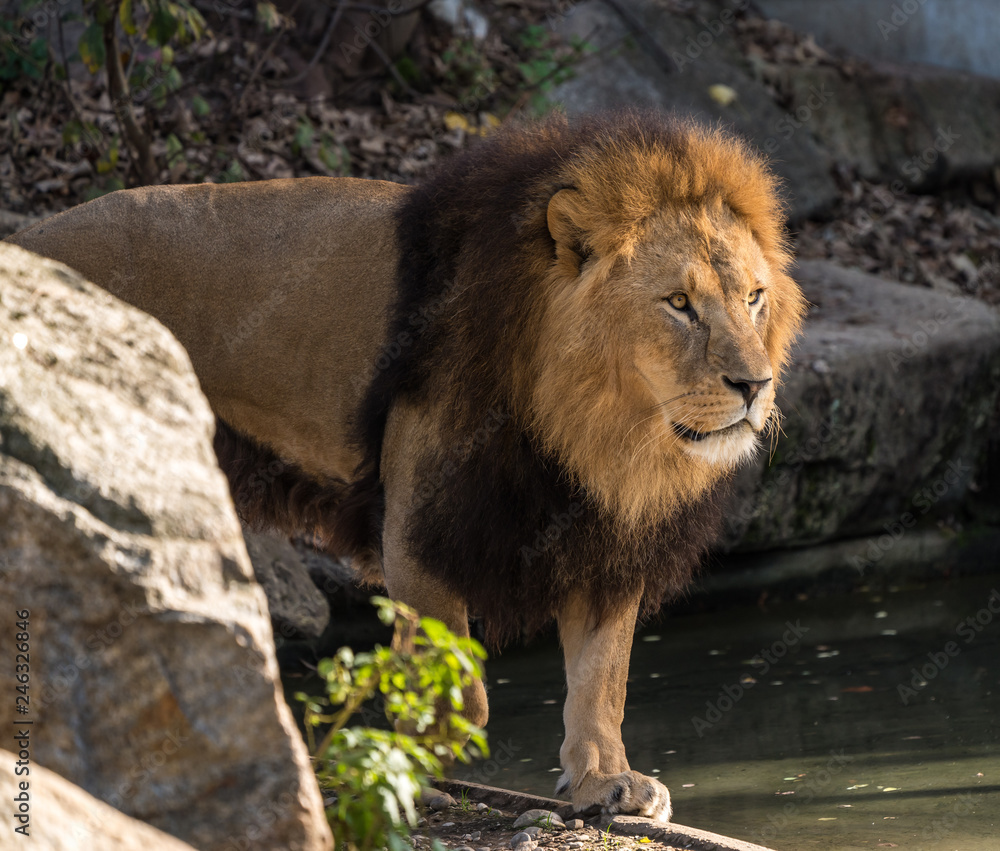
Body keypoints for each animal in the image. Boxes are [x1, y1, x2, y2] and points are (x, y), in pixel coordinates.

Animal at [6, 111, 806, 822]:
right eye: (679, 304)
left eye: (753, 297)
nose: (755, 385)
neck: (599, 430)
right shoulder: (418, 524)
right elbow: (454, 680)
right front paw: (415, 773)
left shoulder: (601, 539)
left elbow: (602, 678)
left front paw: (604, 783)